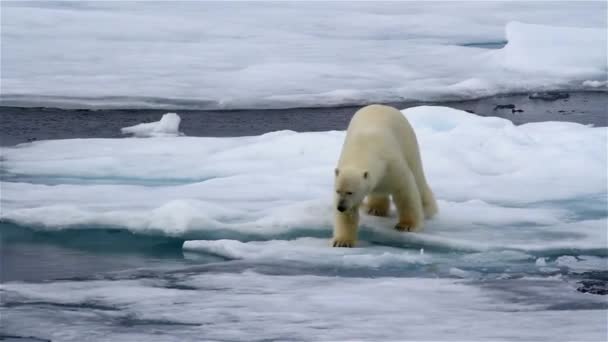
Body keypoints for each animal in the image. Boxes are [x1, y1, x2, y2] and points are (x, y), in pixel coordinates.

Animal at [332, 103, 436, 247]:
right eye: (338, 191)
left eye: (350, 192)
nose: (340, 207)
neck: (363, 149)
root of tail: (382, 105)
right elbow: (349, 214)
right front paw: (342, 242)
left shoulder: (391, 164)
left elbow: (405, 191)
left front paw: (406, 225)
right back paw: (375, 209)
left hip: (408, 140)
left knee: (418, 175)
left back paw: (427, 208)